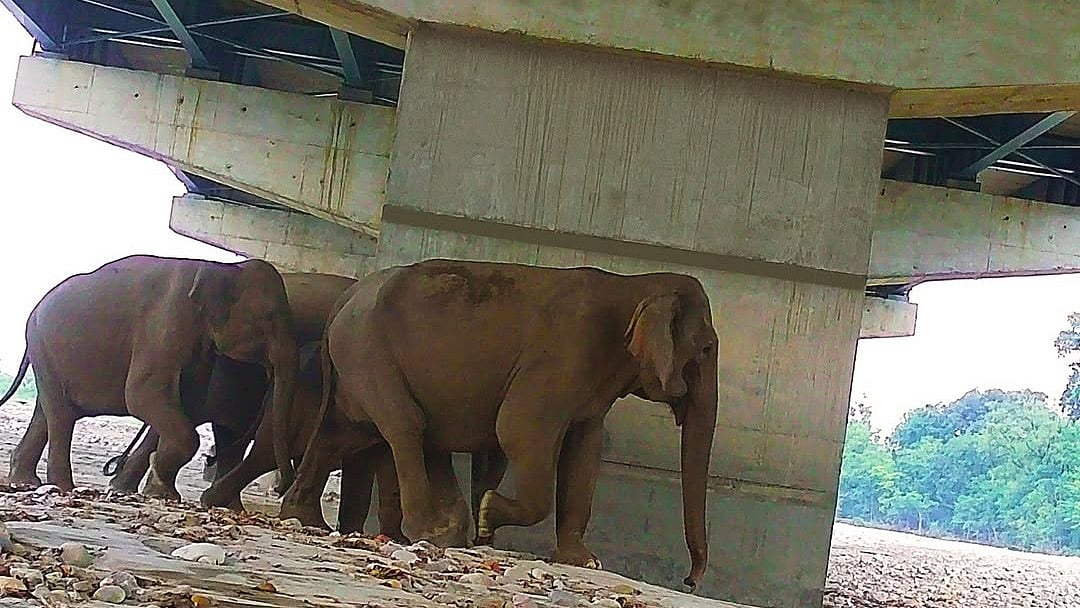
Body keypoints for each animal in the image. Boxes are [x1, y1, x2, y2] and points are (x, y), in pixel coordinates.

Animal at [0, 255, 300, 499]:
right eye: (269, 316)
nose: (281, 488)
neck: (224, 268)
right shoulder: (166, 320)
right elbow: (143, 394)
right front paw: (160, 489)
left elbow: (186, 403)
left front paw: (153, 489)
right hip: (43, 343)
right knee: (61, 415)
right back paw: (62, 487)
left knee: (49, 411)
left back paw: (25, 481)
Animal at [279, 259, 718, 589]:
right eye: (708, 348)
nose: (689, 581)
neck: (635, 286)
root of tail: (346, 298)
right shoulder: (561, 356)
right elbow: (519, 430)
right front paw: (489, 516)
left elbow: (585, 450)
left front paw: (583, 562)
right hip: (369, 353)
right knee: (405, 425)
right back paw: (432, 534)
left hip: (355, 363)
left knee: (345, 432)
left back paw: (305, 520)